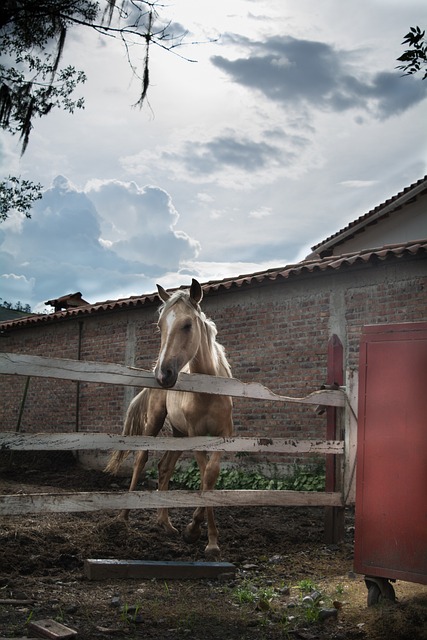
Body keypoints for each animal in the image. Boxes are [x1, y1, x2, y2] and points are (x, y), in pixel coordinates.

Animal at [106, 278, 234, 556]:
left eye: (187, 325)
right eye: (160, 326)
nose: (163, 374)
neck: (209, 391)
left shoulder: (223, 436)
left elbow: (210, 476)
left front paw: (201, 534)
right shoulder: (196, 436)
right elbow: (205, 475)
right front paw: (203, 535)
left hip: (178, 434)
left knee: (165, 467)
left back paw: (165, 523)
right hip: (156, 422)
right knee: (141, 460)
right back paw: (123, 517)